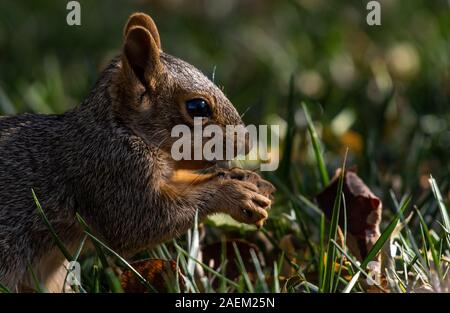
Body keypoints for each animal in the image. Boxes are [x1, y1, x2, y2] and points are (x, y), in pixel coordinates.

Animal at [0, 12, 274, 290]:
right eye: (198, 107)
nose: (248, 144)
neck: (119, 126)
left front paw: (247, 179)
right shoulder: (109, 172)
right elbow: (138, 223)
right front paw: (233, 194)